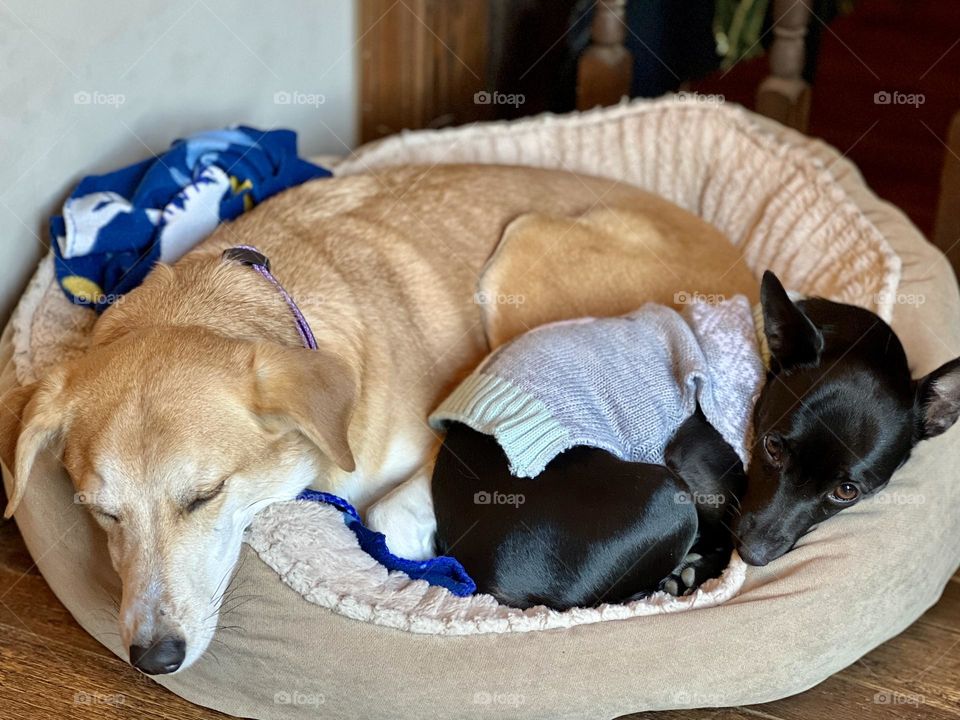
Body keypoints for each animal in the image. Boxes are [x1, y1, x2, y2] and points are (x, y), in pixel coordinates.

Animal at [0, 165, 752, 676]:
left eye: (204, 496)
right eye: (101, 513)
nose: (153, 657)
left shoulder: (445, 437)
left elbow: (387, 515)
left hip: (525, 253)